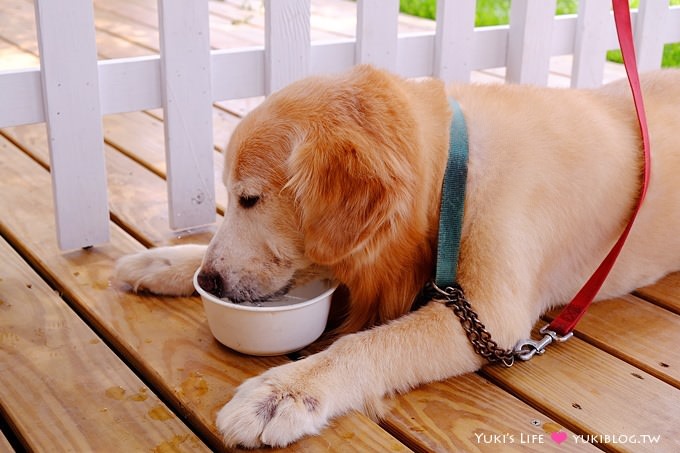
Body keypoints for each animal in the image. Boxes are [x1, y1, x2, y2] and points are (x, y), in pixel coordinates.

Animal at [114, 65, 680, 446]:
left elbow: (363, 344)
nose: (209, 281)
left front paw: (286, 392)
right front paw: (166, 262)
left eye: (250, 198)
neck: (454, 172)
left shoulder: (491, 320)